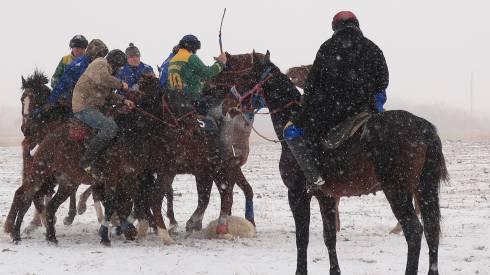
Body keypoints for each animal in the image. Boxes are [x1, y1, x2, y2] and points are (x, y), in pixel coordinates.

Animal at [237, 50, 448, 274]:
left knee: (415, 232)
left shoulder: (297, 194)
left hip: (397, 191)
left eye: (246, 76)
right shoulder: (327, 197)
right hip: (424, 189)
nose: (235, 102)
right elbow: (329, 237)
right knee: (432, 231)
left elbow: (302, 238)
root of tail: (424, 128)